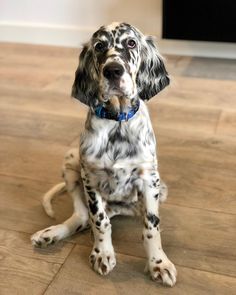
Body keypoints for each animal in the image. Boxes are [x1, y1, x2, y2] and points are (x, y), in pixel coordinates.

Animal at [32, 22, 178, 288]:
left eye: (131, 43)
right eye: (99, 46)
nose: (113, 71)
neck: (117, 121)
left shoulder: (149, 178)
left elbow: (152, 227)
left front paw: (158, 263)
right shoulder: (90, 177)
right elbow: (100, 221)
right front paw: (102, 253)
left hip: (159, 189)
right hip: (71, 160)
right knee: (82, 216)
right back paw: (50, 234)